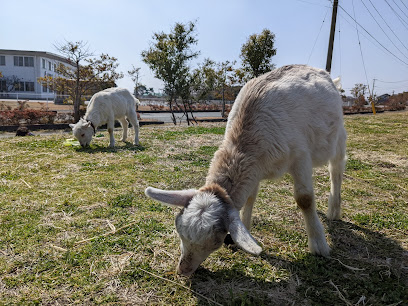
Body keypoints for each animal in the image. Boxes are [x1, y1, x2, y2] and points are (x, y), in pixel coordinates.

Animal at [145, 65, 346, 276]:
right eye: (180, 231)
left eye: (214, 242)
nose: (183, 270)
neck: (245, 143)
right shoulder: (255, 168)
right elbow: (250, 197)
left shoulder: (300, 157)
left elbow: (305, 199)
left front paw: (319, 246)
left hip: (338, 136)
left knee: (336, 169)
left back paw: (334, 210)